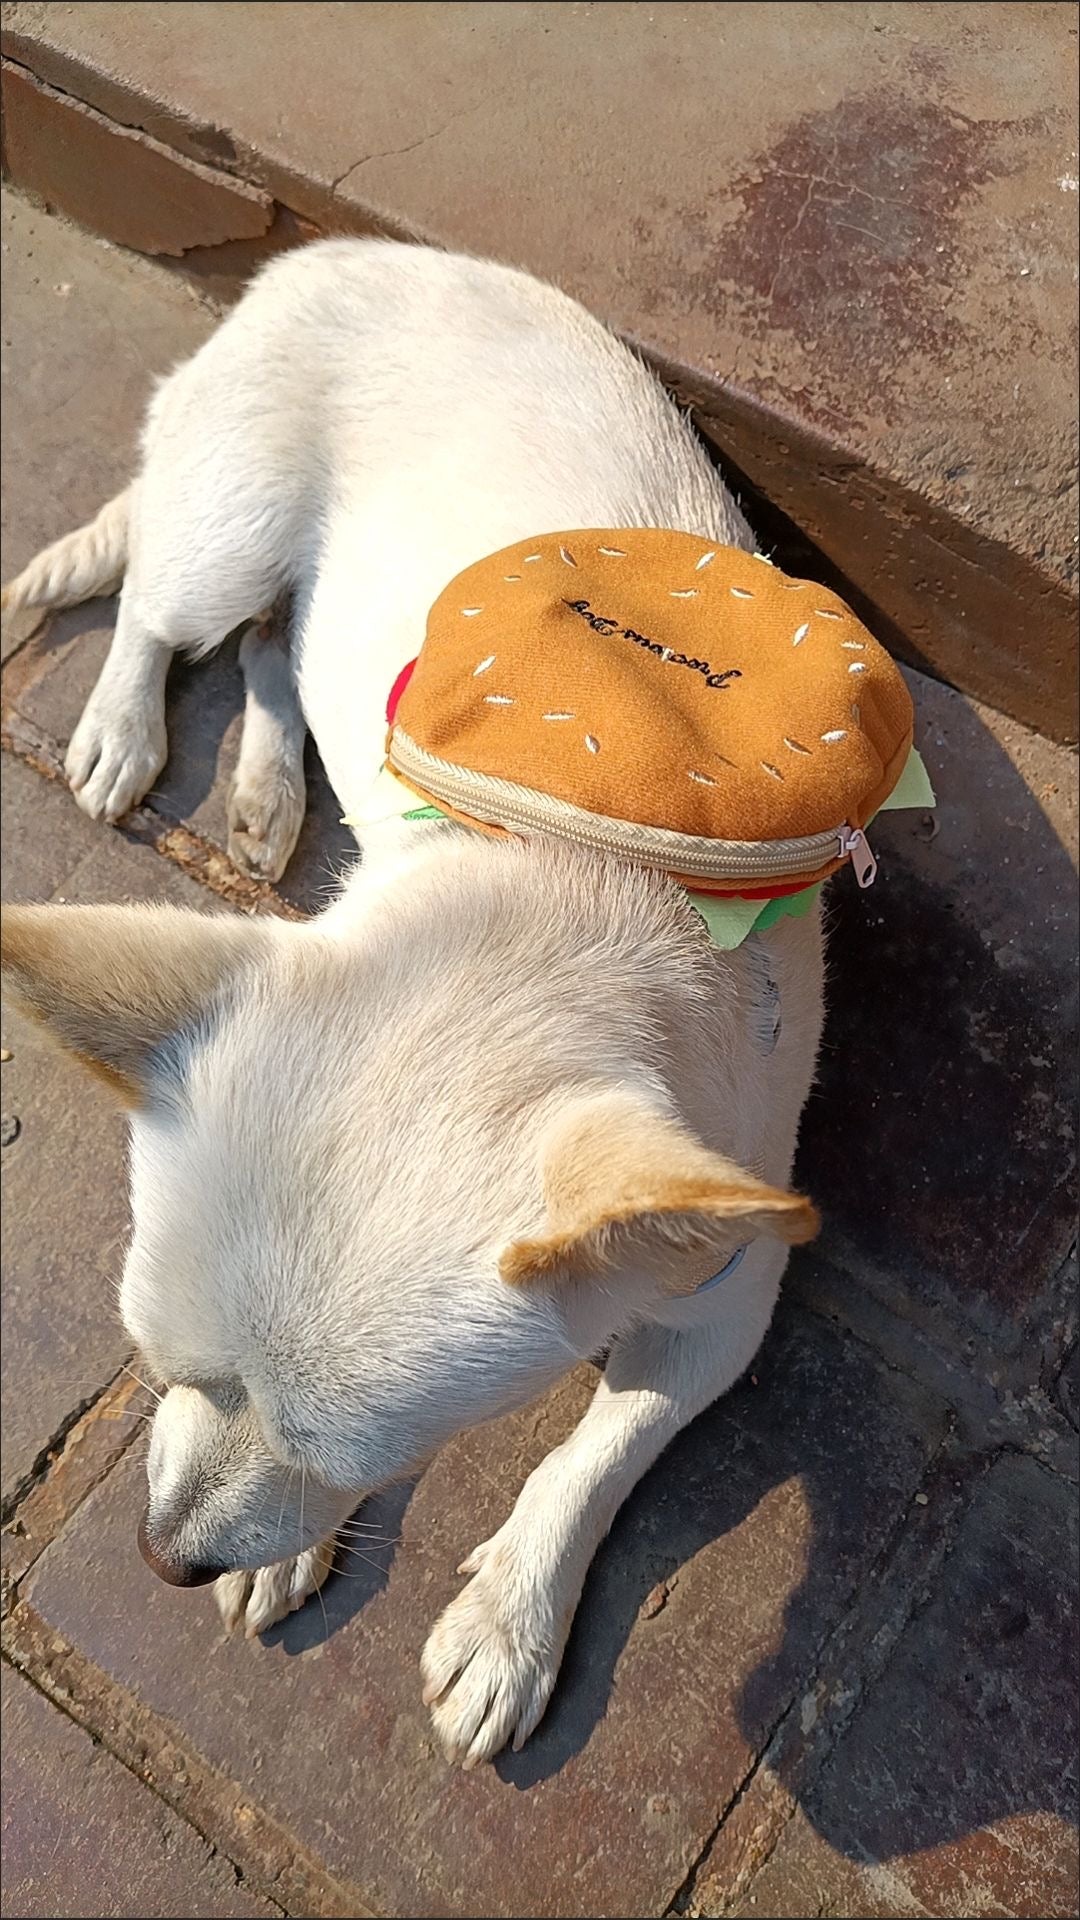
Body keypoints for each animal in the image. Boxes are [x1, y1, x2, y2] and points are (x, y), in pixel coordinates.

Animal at [2, 243, 822, 1766]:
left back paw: (268, 789)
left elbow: (599, 1448)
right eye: (156, 1364)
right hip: (227, 531)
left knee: (277, 647)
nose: (161, 1558)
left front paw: (509, 1619)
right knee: (164, 606)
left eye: (366, 1456)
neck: (581, 872)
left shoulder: (727, 1294)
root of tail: (326, 256)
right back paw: (127, 726)